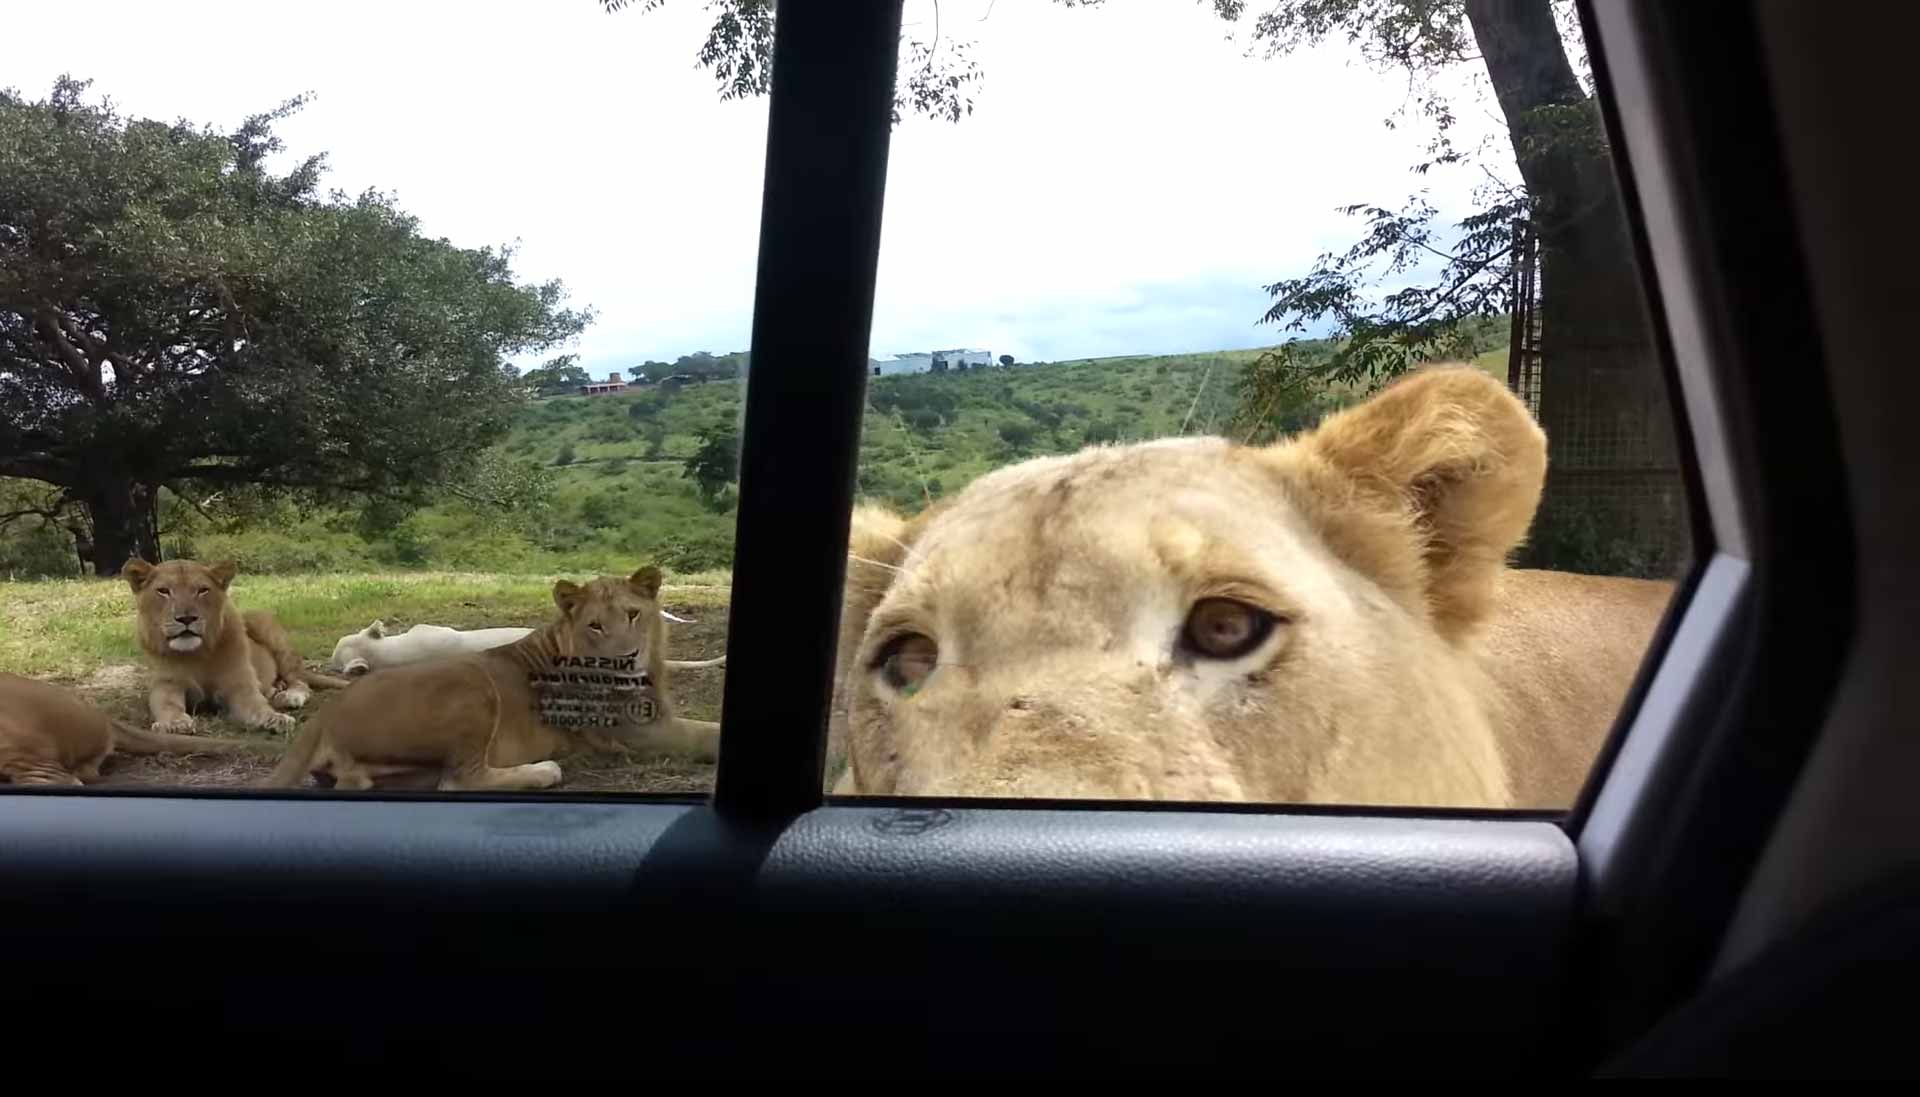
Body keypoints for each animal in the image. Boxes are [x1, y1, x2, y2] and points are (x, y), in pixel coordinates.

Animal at [125, 557, 351, 737]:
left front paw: (276, 719)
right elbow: (167, 705)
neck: (195, 654)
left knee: (300, 680)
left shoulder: (239, 685)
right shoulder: (166, 685)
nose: (186, 618)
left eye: (202, 590)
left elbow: (257, 706)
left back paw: (289, 696)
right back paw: (275, 689)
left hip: (265, 626)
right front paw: (175, 723)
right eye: (163, 591)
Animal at [259, 564, 721, 791]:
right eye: (595, 625)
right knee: (458, 780)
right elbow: (706, 736)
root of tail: (325, 714)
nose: (627, 657)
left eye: (633, 614)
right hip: (473, 685)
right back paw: (545, 770)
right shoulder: (636, 732)